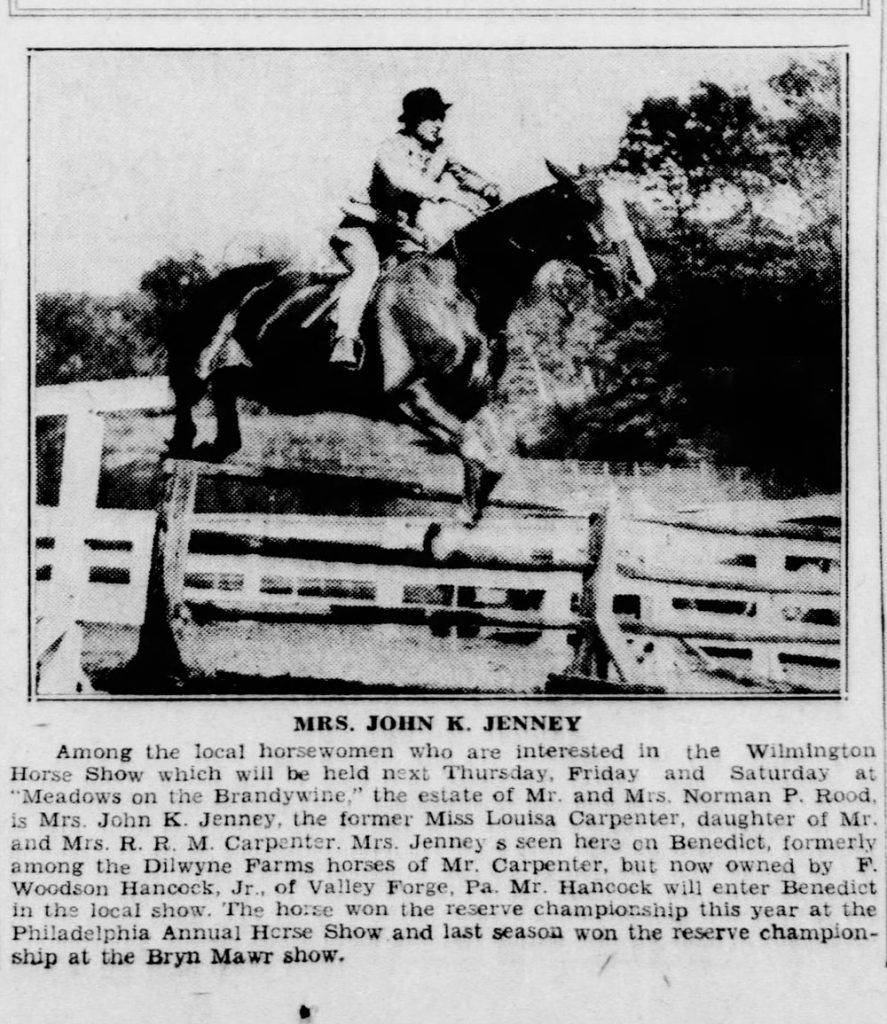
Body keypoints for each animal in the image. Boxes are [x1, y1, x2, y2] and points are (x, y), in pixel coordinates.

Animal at [163, 164, 651, 528]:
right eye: (588, 206)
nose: (640, 278)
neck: (463, 293)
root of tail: (214, 283)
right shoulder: (408, 396)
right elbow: (476, 451)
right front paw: (454, 528)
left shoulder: (471, 400)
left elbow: (494, 457)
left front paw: (465, 520)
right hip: (196, 365)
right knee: (188, 401)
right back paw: (186, 445)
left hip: (260, 379)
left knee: (226, 401)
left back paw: (214, 448)